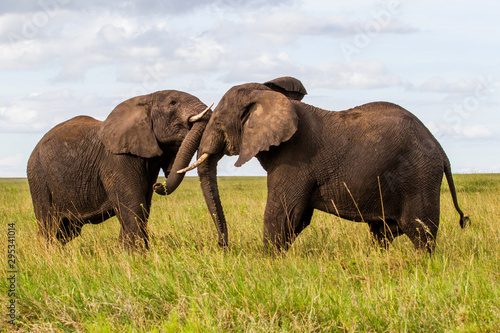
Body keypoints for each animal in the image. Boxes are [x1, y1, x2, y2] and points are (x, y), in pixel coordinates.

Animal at [27, 89, 211, 248]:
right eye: (173, 103)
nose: (158, 185)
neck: (144, 100)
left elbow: (143, 207)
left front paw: (126, 253)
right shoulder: (116, 160)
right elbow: (133, 205)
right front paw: (136, 256)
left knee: (66, 232)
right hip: (38, 179)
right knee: (49, 226)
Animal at [179, 76, 468, 253]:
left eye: (217, 123)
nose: (223, 246)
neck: (271, 97)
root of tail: (441, 151)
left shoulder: (295, 158)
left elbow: (282, 213)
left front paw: (267, 264)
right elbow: (298, 218)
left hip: (419, 176)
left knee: (420, 232)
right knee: (383, 232)